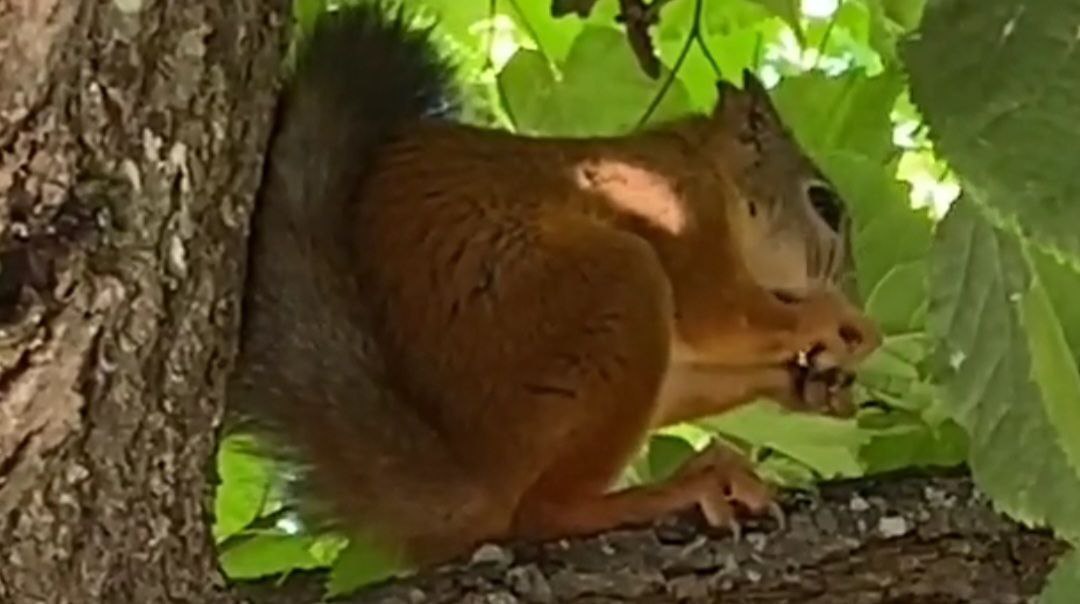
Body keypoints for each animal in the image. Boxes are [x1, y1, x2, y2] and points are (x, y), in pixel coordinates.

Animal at [228, 2, 882, 568]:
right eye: (825, 205)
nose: (850, 290)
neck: (710, 171)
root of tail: (480, 472)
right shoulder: (676, 211)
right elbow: (720, 313)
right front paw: (841, 322)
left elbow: (693, 372)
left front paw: (808, 386)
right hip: (603, 294)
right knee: (543, 513)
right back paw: (682, 488)